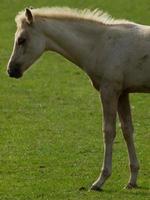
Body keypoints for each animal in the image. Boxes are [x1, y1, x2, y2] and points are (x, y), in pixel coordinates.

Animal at [7, 7, 150, 191]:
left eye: (21, 40)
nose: (11, 70)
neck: (100, 44)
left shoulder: (109, 90)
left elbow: (108, 131)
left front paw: (100, 180)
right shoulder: (122, 93)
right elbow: (127, 130)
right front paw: (132, 180)